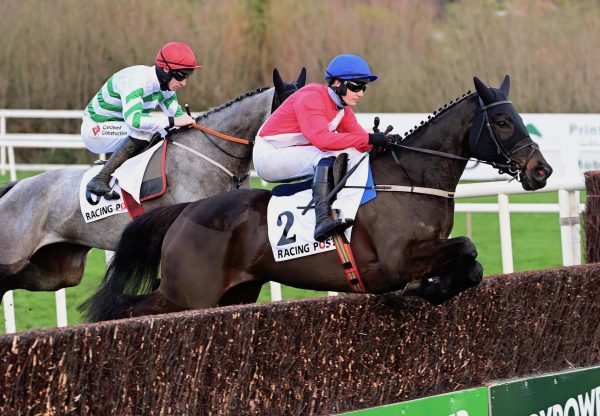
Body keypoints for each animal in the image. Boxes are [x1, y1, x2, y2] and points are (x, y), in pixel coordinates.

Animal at [83, 75, 552, 322]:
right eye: (504, 122)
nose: (541, 170)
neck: (411, 177)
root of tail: (186, 210)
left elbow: (472, 264)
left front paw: (435, 285)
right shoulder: (396, 258)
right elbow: (467, 246)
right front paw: (429, 285)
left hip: (235, 294)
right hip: (188, 294)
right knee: (135, 309)